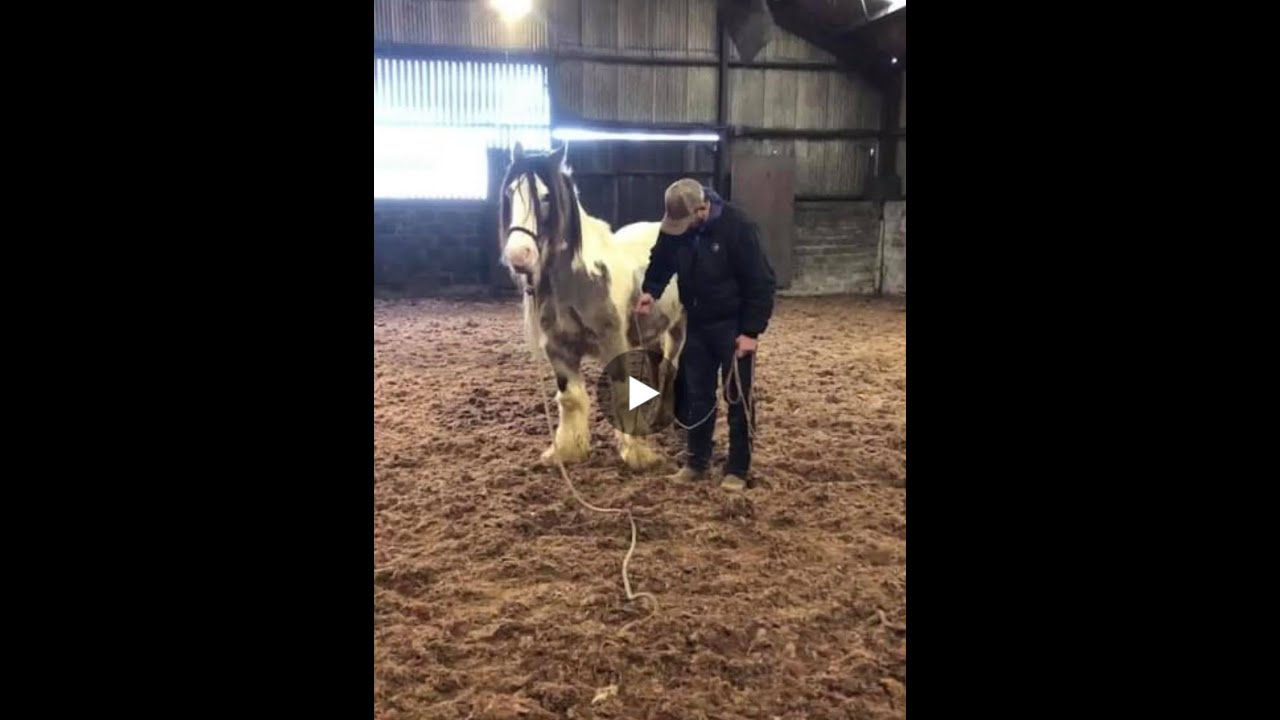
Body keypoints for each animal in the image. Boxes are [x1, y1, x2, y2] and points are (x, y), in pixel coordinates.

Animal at [498, 142, 686, 470]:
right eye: (510, 193)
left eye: (546, 197)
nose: (518, 255)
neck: (578, 278)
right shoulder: (558, 349)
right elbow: (570, 398)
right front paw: (566, 451)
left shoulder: (613, 343)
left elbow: (622, 392)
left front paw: (637, 453)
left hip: (679, 327)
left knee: (669, 366)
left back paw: (662, 416)